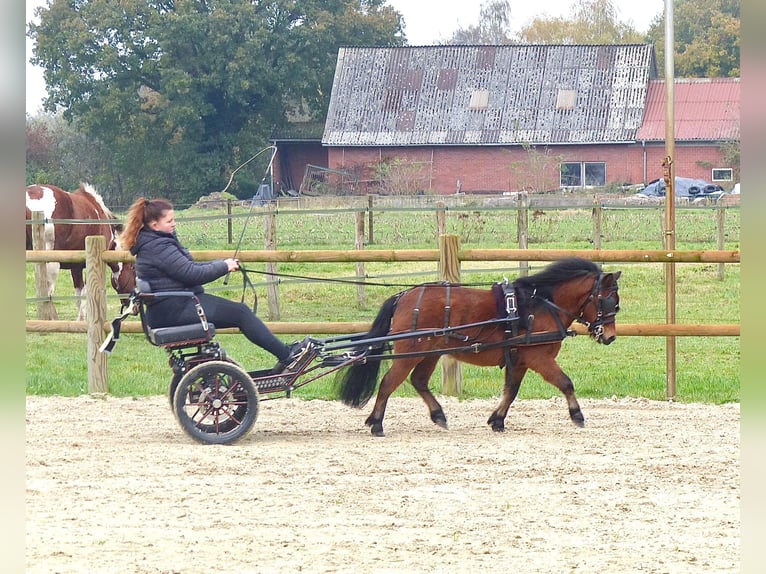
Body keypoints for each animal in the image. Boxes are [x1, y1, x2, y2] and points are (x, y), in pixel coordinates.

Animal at [25, 183, 136, 322]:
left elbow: (79, 294)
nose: (135, 309)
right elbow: (86, 293)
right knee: (48, 292)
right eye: (134, 270)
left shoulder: (76, 266)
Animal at [340, 258, 620, 438]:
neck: (541, 305)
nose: (610, 337)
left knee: (418, 381)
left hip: (429, 354)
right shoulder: (539, 358)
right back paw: (377, 423)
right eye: (608, 301)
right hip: (409, 353)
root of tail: (403, 296)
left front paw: (497, 420)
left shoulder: (519, 360)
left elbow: (511, 391)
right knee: (389, 382)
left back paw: (438, 415)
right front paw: (577, 415)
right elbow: (565, 383)